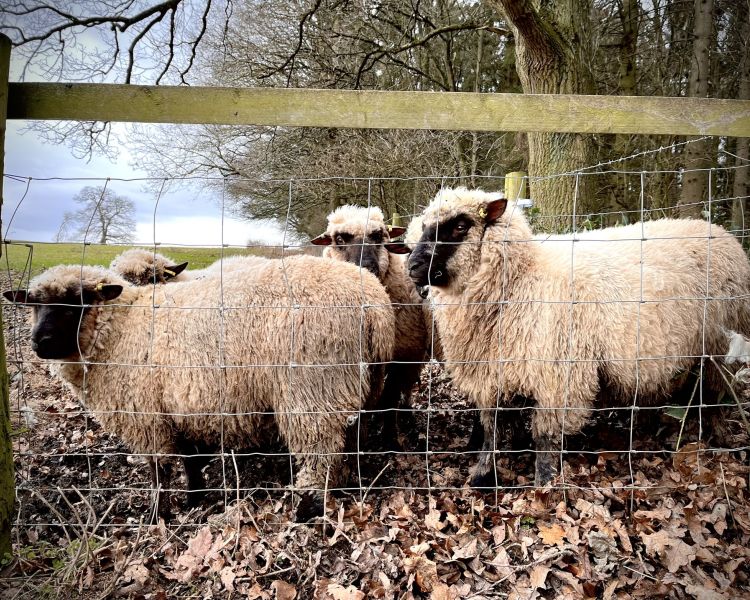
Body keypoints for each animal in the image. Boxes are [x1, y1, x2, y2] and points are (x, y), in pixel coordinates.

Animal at [3, 256, 395, 519]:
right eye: (34, 305)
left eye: (76, 303)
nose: (39, 342)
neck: (120, 329)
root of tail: (377, 306)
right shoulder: (183, 408)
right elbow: (190, 461)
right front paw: (195, 499)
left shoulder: (145, 416)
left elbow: (158, 472)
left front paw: (157, 515)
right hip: (362, 384)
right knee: (350, 441)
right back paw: (346, 485)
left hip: (311, 390)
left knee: (319, 454)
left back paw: (307, 507)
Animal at [311, 205, 428, 446]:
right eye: (339, 239)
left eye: (377, 236)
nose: (366, 268)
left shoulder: (403, 355)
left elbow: (390, 398)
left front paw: (390, 439)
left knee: (406, 386)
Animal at [407, 187, 750, 486]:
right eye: (424, 227)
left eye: (460, 226)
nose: (412, 265)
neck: (522, 279)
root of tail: (723, 233)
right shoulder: (492, 370)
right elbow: (491, 428)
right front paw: (481, 475)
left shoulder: (557, 375)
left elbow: (544, 437)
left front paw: (543, 482)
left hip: (723, 347)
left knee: (717, 398)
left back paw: (719, 438)